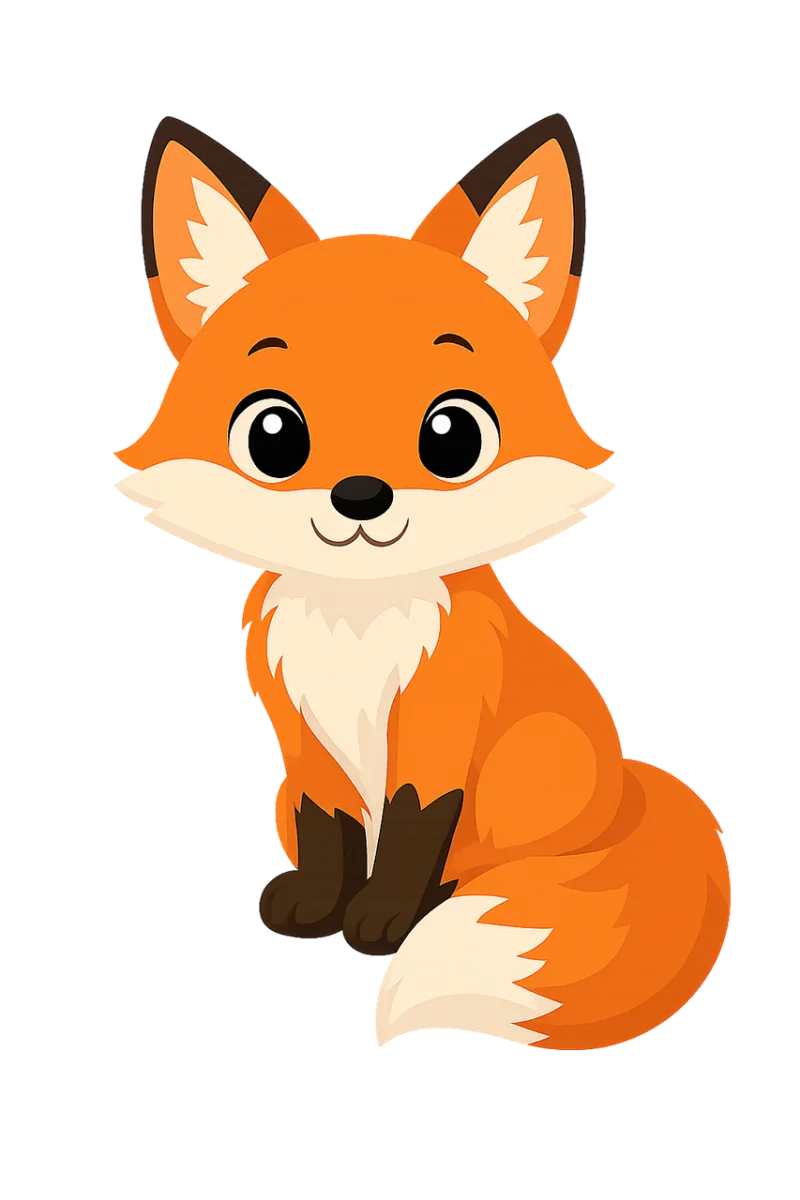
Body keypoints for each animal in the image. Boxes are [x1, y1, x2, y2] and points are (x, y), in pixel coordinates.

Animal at [116, 114, 732, 1050]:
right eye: (273, 435)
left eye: (453, 435)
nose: (360, 497)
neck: (357, 625)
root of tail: (633, 787)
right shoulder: (302, 739)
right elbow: (328, 828)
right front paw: (316, 910)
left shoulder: (441, 724)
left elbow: (411, 828)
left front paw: (385, 923)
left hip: (533, 760)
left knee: (491, 865)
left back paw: (453, 898)